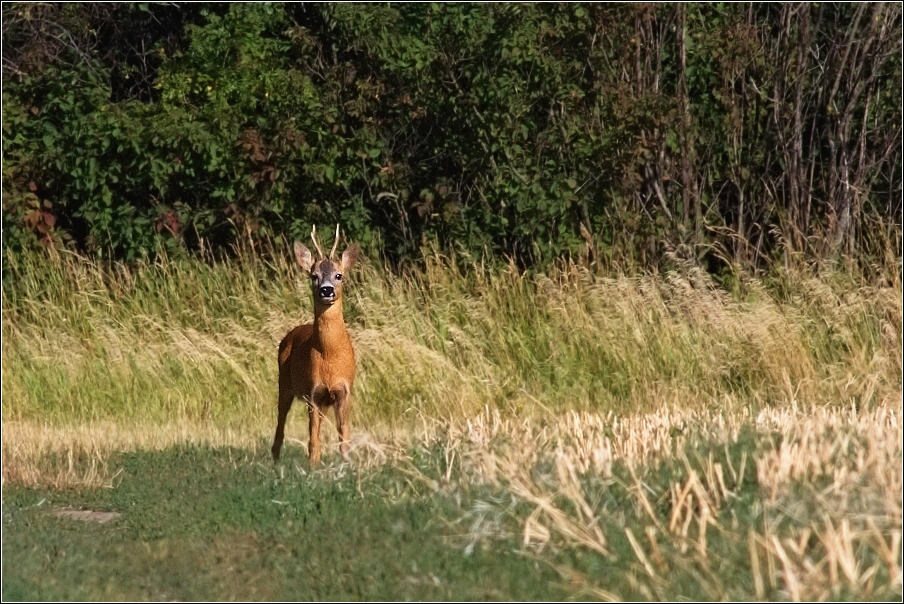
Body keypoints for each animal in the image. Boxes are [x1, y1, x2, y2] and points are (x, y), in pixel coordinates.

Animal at [272, 224, 360, 464]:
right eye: (314, 276)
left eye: (339, 275)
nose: (326, 290)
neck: (329, 356)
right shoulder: (313, 393)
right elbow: (313, 441)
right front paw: (313, 467)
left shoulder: (344, 392)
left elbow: (344, 439)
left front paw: (347, 465)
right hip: (284, 384)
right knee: (280, 425)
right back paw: (275, 461)